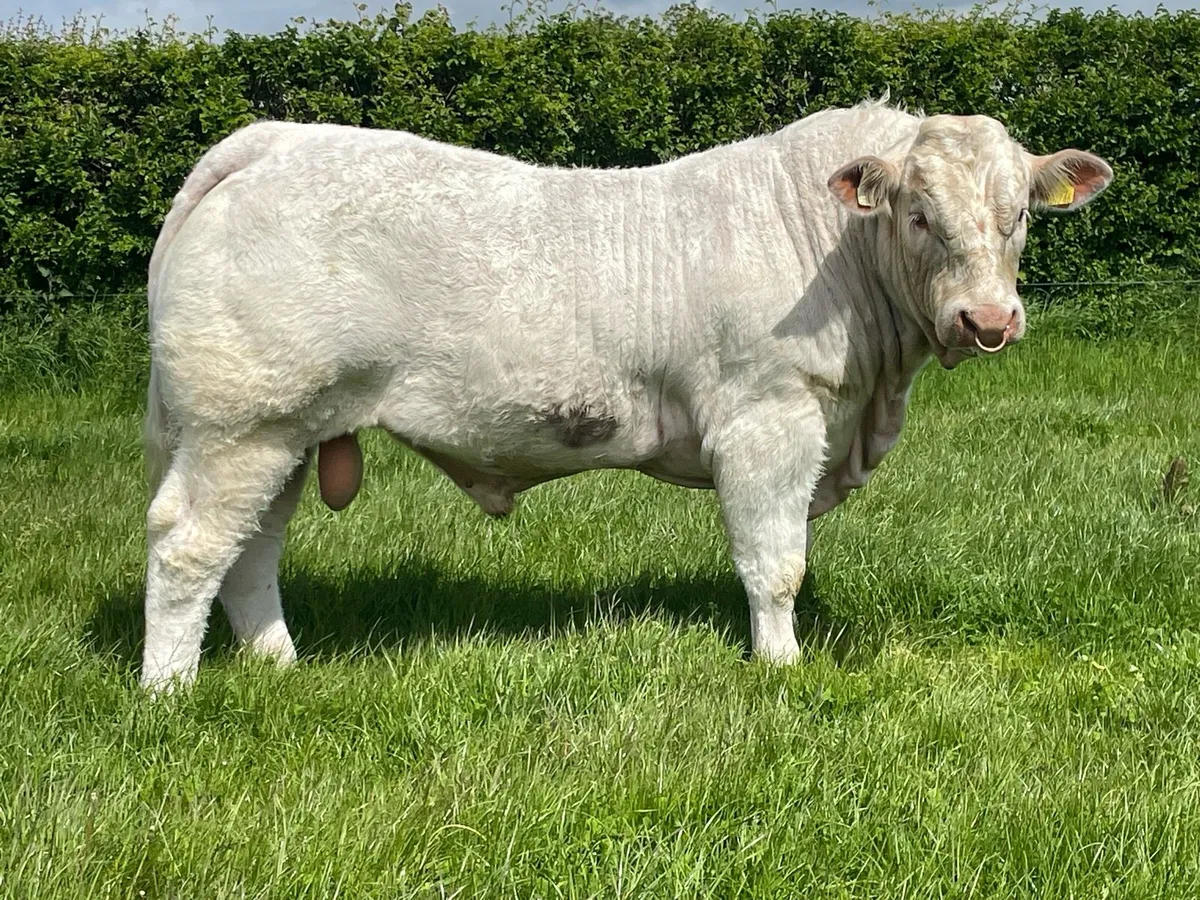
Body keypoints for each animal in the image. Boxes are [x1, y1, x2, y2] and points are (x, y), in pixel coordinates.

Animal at [140, 100, 1112, 690]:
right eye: (918, 215)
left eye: (1020, 215)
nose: (989, 319)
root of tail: (269, 141)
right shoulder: (769, 418)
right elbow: (775, 562)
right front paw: (781, 668)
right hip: (242, 422)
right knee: (189, 548)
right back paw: (169, 691)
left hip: (285, 429)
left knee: (252, 554)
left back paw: (278, 667)